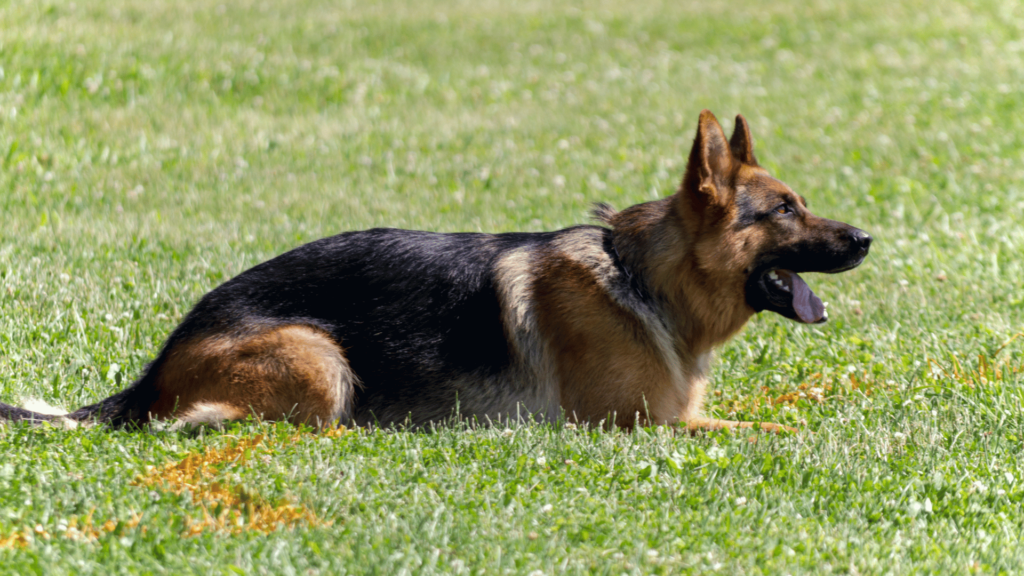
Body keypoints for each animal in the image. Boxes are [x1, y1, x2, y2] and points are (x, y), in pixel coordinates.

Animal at [0, 108, 872, 430]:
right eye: (784, 210)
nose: (867, 238)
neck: (642, 280)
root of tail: (159, 363)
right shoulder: (639, 425)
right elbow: (768, 427)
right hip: (320, 357)